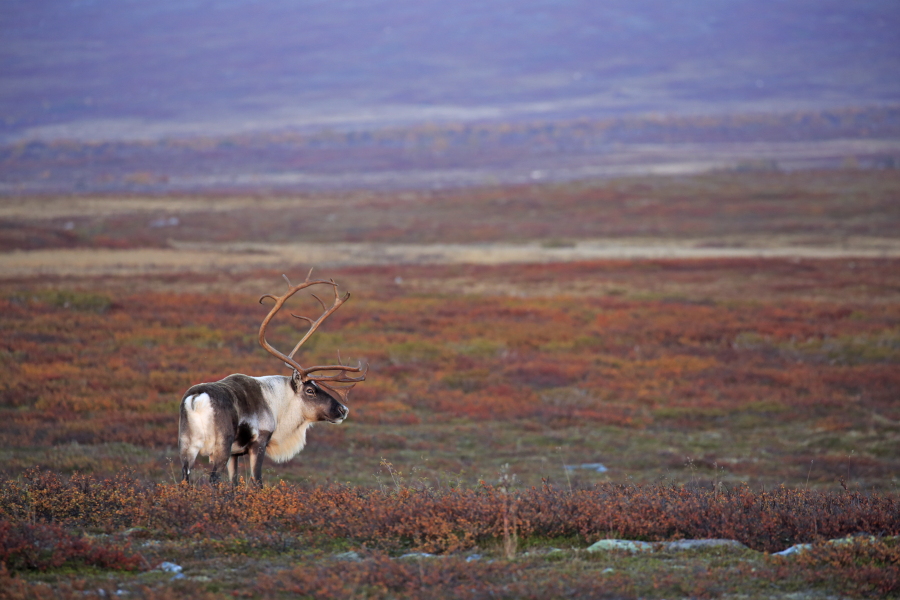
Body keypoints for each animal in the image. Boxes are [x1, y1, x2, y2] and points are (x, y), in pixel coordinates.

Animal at [178, 270, 366, 486]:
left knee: (185, 480)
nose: (343, 409)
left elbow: (233, 484)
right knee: (214, 479)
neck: (277, 403)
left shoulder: (235, 454)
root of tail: (197, 399)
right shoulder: (259, 443)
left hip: (186, 447)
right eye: (310, 390)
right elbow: (257, 481)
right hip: (220, 446)